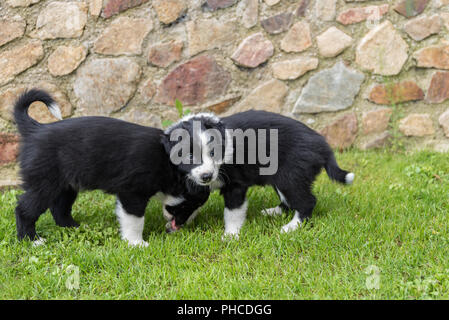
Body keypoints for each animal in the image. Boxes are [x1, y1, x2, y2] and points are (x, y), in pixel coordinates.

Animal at [12, 89, 210, 246]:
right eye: (191, 205)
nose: (179, 226)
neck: (169, 164)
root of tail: (36, 129)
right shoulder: (132, 193)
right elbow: (135, 220)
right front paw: (136, 243)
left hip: (67, 184)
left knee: (59, 208)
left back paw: (74, 227)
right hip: (44, 182)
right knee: (25, 209)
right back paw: (32, 240)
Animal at [161, 110, 354, 238]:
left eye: (213, 153)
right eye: (189, 156)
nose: (207, 176)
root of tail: (322, 145)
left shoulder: (236, 185)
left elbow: (232, 211)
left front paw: (230, 235)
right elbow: (193, 202)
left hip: (291, 176)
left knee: (307, 201)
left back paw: (291, 227)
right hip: (282, 178)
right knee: (289, 200)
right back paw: (273, 212)